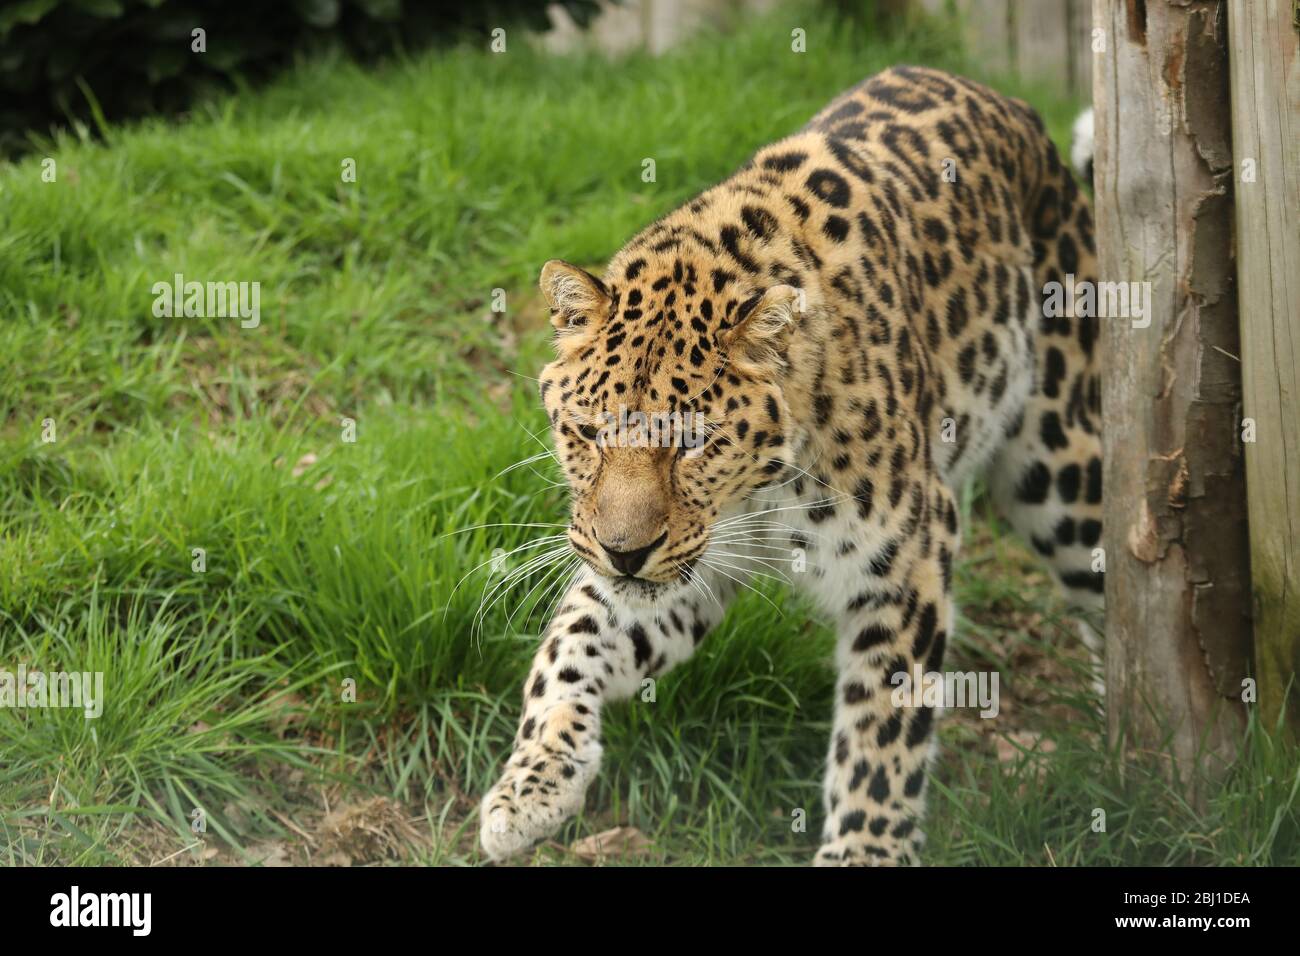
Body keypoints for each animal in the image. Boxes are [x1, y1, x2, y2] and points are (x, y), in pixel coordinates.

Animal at [475, 63, 1097, 863]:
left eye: (694, 443)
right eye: (586, 432)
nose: (623, 552)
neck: (759, 491)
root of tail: (1009, 102)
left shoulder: (911, 556)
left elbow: (883, 734)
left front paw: (864, 851)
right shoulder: (684, 568)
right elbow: (573, 640)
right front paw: (531, 784)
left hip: (1063, 463)